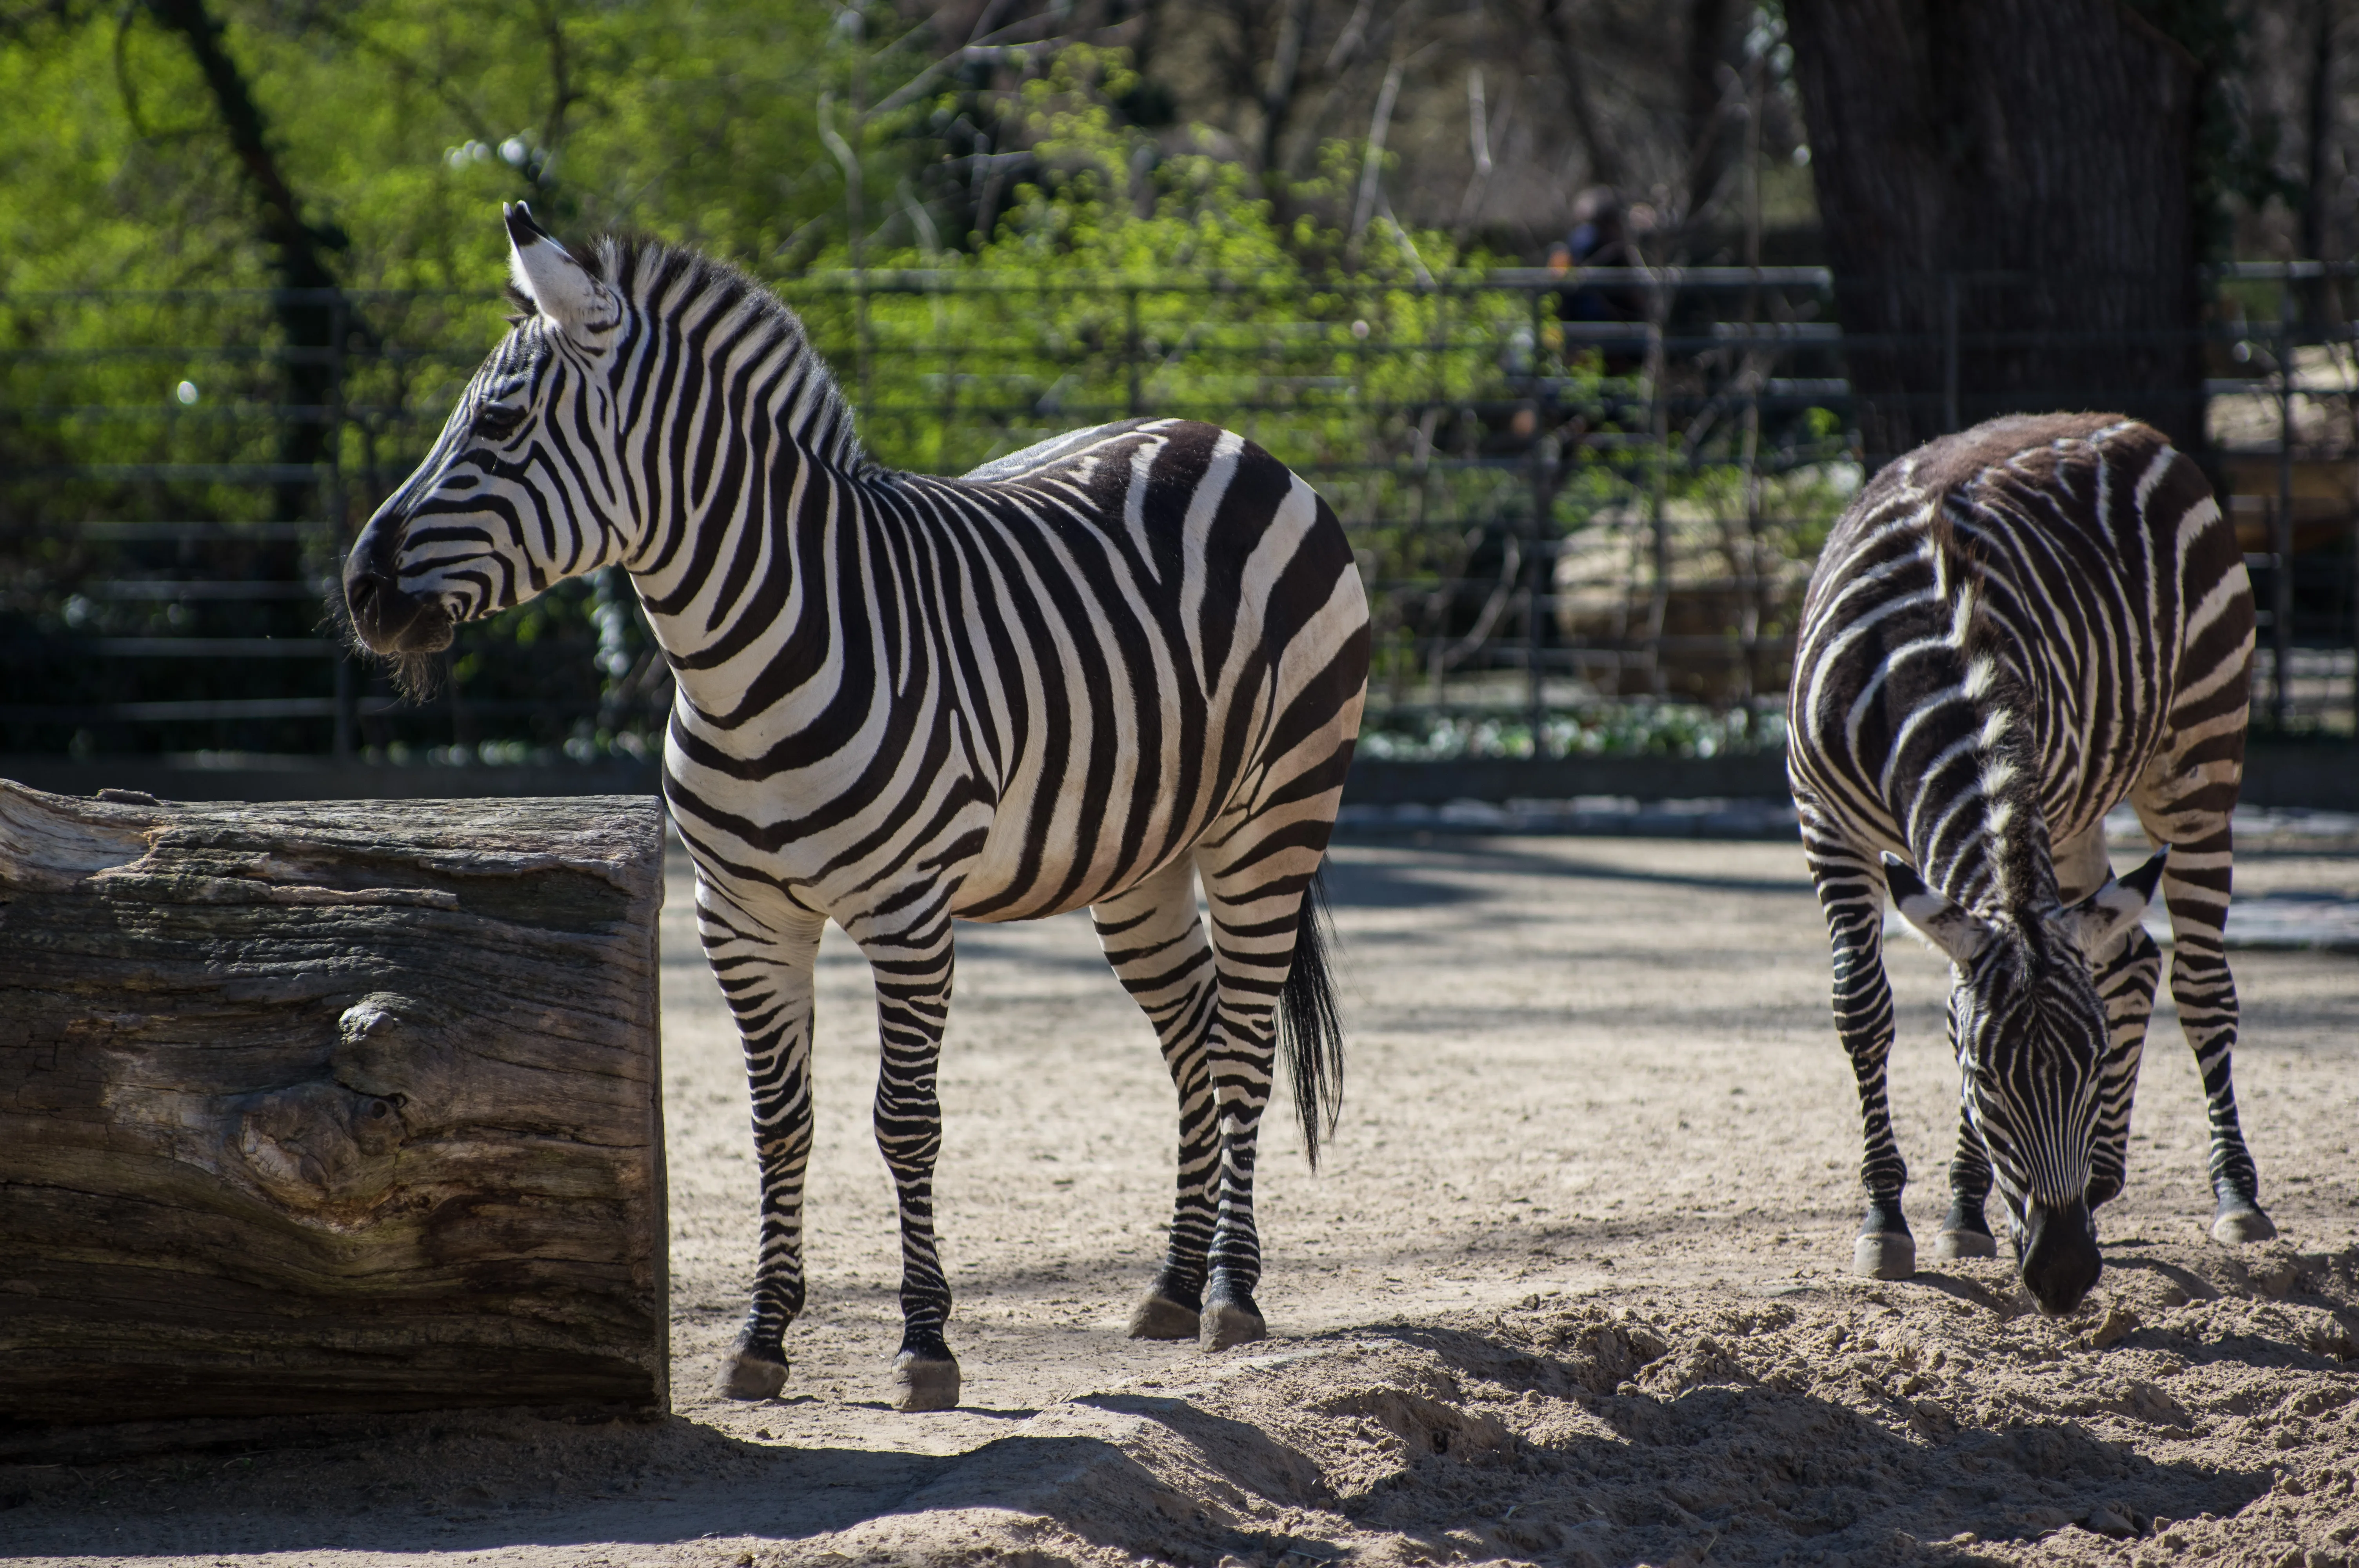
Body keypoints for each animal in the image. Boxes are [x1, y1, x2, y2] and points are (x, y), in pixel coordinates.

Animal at [343, 204, 1371, 1410]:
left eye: (500, 422)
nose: (360, 590)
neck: (744, 662)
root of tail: (1221, 435)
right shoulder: (741, 918)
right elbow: (778, 1124)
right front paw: (761, 1337)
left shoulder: (908, 914)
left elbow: (905, 1122)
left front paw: (925, 1344)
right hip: (1138, 857)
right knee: (1196, 1040)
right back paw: (1167, 1285)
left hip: (1271, 817)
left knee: (1245, 1041)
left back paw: (1228, 1294)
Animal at [1787, 412, 2273, 1317]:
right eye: (1981, 1075)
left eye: (2087, 1067)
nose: (2063, 1273)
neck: (1922, 661)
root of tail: (2122, 424)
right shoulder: (1821, 819)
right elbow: (1861, 1007)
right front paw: (1885, 1218)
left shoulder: (2033, 784)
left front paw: (1959, 1205)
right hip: (2081, 815)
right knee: (2127, 955)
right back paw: (2105, 1176)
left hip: (2199, 753)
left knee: (2198, 983)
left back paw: (2234, 1194)